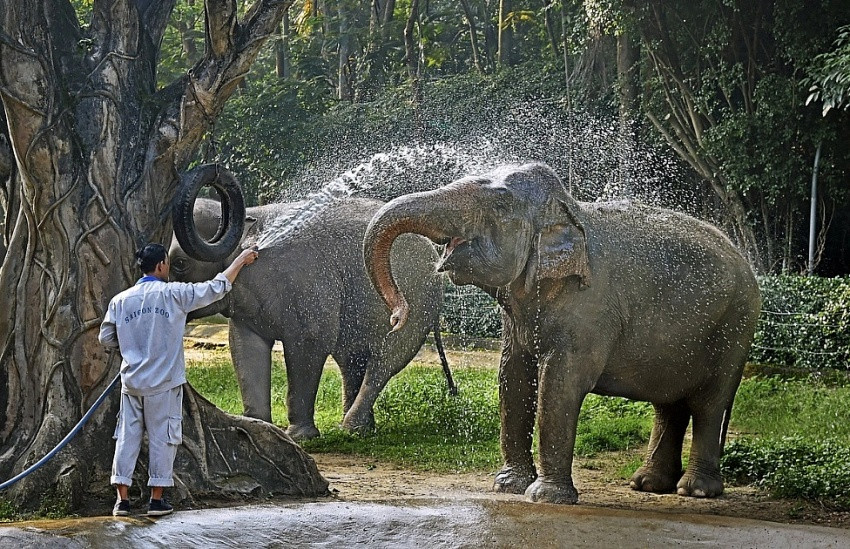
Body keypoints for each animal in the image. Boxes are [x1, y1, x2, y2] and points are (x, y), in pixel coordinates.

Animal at [169, 195, 454, 438]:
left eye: (180, 264)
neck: (250, 218)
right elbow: (243, 346)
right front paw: (257, 425)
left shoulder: (307, 286)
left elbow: (310, 342)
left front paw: (299, 437)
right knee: (351, 360)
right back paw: (360, 430)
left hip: (415, 303)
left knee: (384, 361)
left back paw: (350, 428)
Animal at [362, 161, 760, 504]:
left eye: (500, 203)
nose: (396, 316)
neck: (569, 212)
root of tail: (746, 260)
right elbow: (513, 376)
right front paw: (507, 487)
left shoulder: (590, 308)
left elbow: (560, 383)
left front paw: (544, 496)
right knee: (668, 403)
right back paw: (646, 485)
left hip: (736, 325)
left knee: (709, 402)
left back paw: (696, 491)